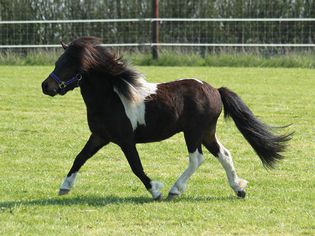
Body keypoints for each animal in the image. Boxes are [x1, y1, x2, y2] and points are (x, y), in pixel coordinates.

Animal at [41, 36, 292, 199]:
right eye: (57, 63)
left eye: (68, 65)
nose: (46, 86)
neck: (112, 98)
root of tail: (215, 90)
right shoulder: (99, 136)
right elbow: (80, 158)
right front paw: (64, 187)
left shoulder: (125, 140)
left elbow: (136, 166)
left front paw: (156, 190)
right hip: (207, 132)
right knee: (224, 154)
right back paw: (238, 188)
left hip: (193, 132)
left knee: (196, 159)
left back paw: (174, 190)